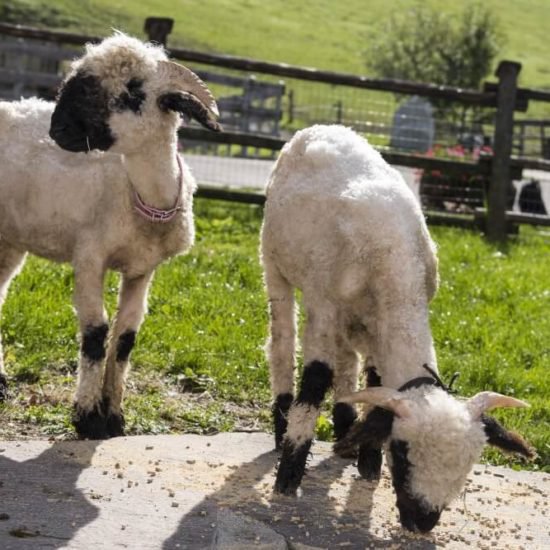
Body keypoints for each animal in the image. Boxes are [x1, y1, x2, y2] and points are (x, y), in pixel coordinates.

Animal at [0, 33, 220, 440]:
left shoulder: (143, 270)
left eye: (134, 92)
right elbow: (96, 333)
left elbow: (124, 338)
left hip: (10, 239)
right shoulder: (90, 257)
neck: (145, 200)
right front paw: (88, 417)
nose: (57, 131)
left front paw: (114, 416)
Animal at [262, 126, 536, 536]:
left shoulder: (375, 325)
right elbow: (315, 381)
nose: (421, 523)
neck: (396, 268)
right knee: (282, 340)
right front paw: (289, 476)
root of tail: (324, 128)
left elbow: (374, 382)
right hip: (274, 263)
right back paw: (282, 431)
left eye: (468, 465)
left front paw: (367, 461)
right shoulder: (324, 308)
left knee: (348, 360)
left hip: (351, 318)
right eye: (403, 455)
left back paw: (345, 432)